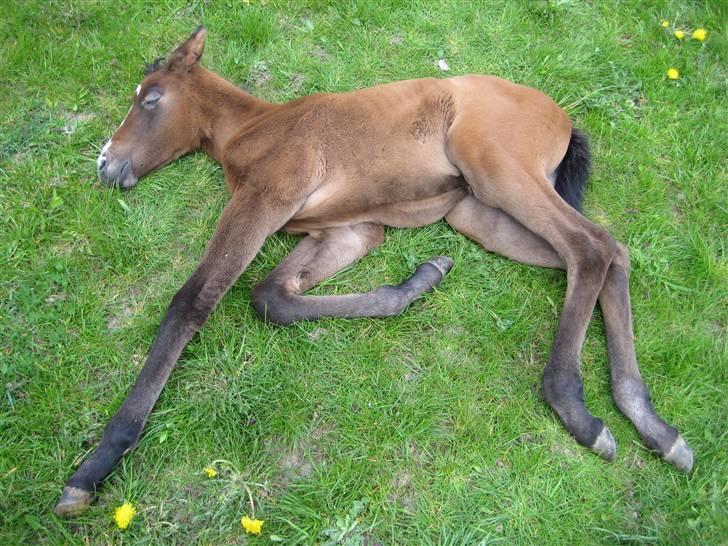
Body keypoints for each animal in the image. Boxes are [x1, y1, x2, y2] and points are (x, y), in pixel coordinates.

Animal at [54, 27, 692, 516]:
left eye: (150, 99)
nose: (106, 163)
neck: (255, 129)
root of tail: (560, 113)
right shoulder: (348, 229)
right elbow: (273, 296)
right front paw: (419, 282)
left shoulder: (267, 196)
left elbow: (192, 301)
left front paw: (95, 465)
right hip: (478, 213)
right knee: (611, 253)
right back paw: (653, 424)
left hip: (499, 172)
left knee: (591, 247)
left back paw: (576, 408)